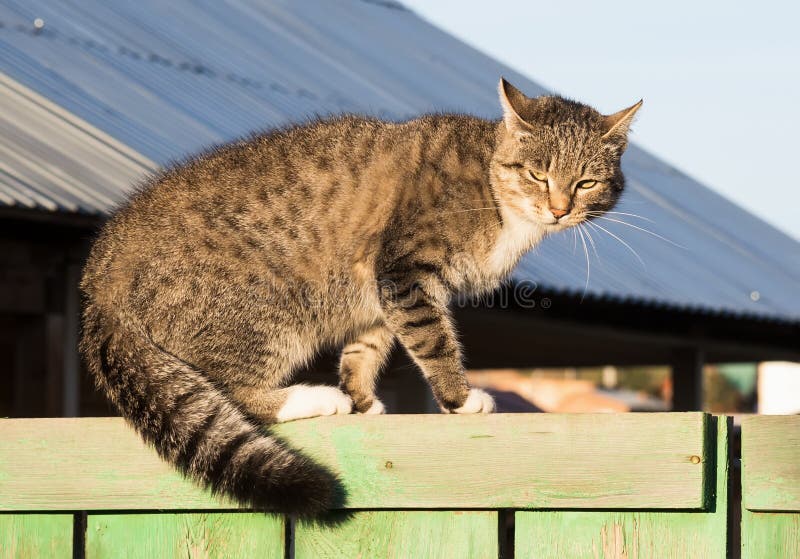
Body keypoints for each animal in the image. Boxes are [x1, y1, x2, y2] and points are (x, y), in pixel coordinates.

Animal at [81, 80, 640, 516]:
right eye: (537, 174)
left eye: (585, 182)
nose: (558, 208)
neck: (495, 192)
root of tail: (100, 278)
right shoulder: (402, 272)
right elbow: (433, 341)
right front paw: (460, 400)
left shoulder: (376, 294)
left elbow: (367, 348)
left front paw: (362, 398)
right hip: (264, 315)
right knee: (233, 391)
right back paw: (315, 398)